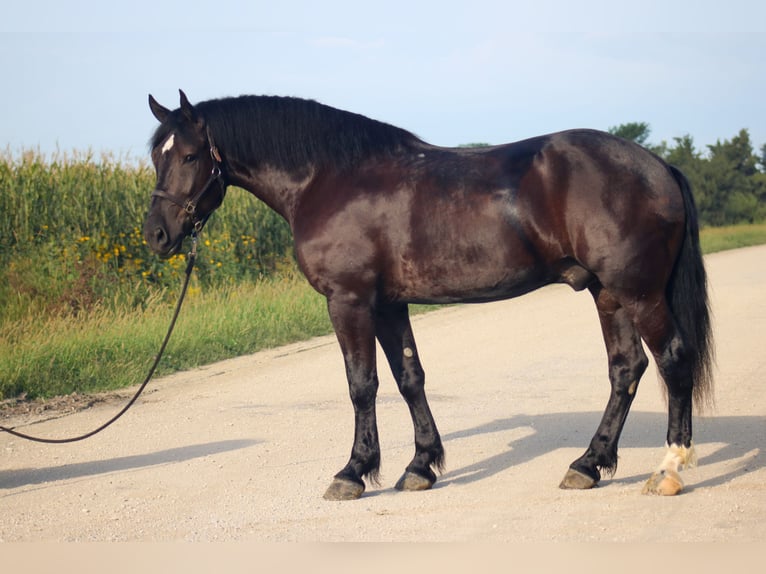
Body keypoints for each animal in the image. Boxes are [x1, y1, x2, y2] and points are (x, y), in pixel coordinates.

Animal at [144, 90, 713, 500]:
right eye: (156, 156)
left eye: (190, 155)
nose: (157, 235)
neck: (330, 179)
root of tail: (657, 165)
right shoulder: (389, 303)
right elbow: (409, 378)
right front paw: (420, 466)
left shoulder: (349, 300)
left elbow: (362, 385)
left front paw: (353, 472)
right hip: (607, 292)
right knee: (626, 369)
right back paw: (588, 465)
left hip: (637, 291)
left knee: (672, 360)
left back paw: (668, 470)